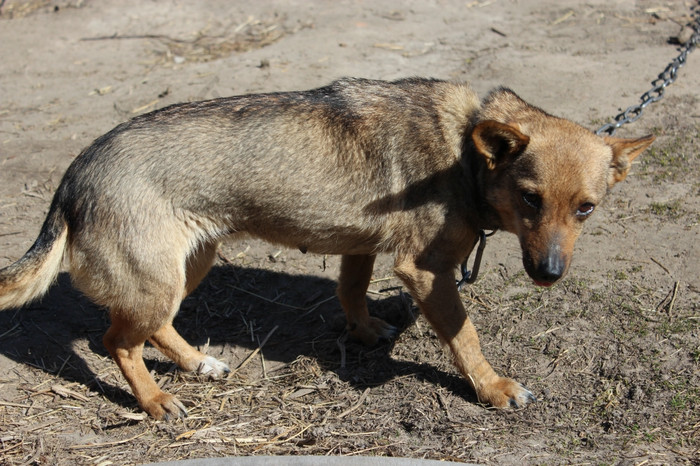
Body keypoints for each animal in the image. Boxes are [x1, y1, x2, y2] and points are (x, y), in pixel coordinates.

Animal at [0, 78, 652, 420]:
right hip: (157, 281)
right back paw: (158, 400)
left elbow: (352, 292)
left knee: (150, 330)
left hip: (187, 268)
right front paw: (492, 388)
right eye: (530, 198)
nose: (549, 273)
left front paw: (363, 334)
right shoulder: (425, 271)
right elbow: (465, 337)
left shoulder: (361, 248)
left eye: (586, 209)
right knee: (116, 341)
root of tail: (74, 175)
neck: (467, 151)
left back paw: (196, 364)